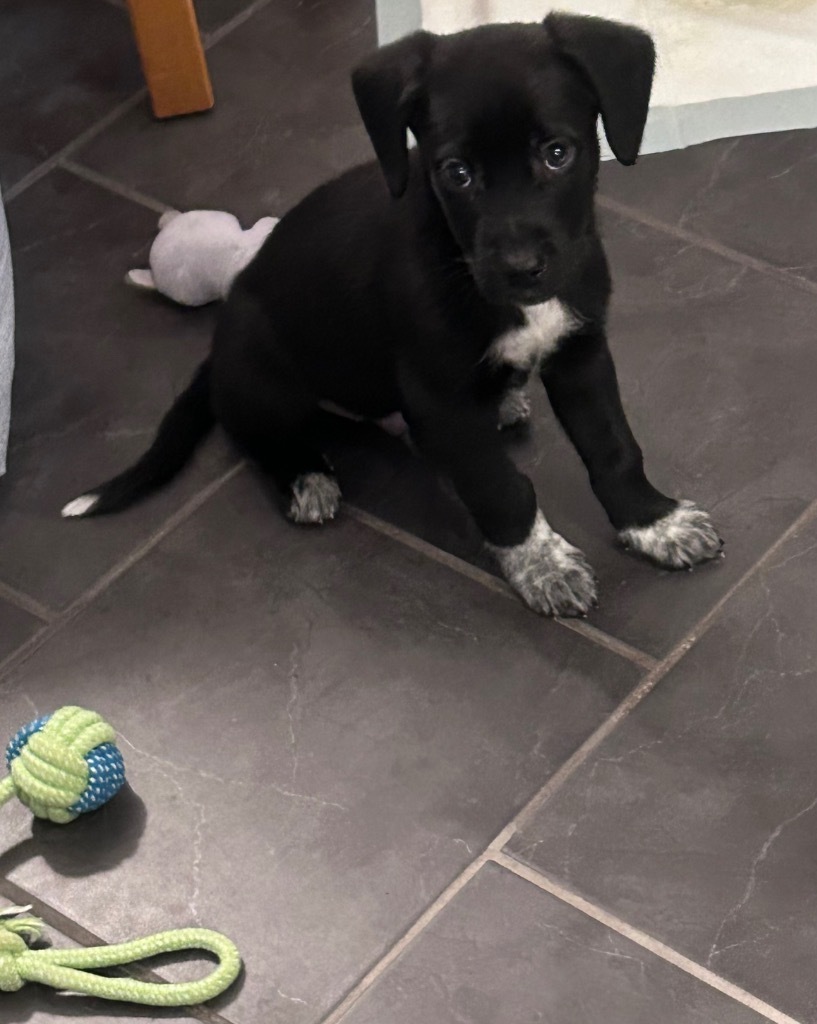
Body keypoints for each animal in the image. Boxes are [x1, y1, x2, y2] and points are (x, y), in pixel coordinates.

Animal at [67, 12, 724, 614]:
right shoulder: (442, 398)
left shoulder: (580, 351)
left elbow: (614, 448)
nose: (521, 269)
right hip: (263, 373)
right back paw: (305, 476)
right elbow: (501, 488)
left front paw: (653, 522)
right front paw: (542, 565)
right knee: (252, 431)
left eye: (557, 154)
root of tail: (218, 342)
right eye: (456, 173)